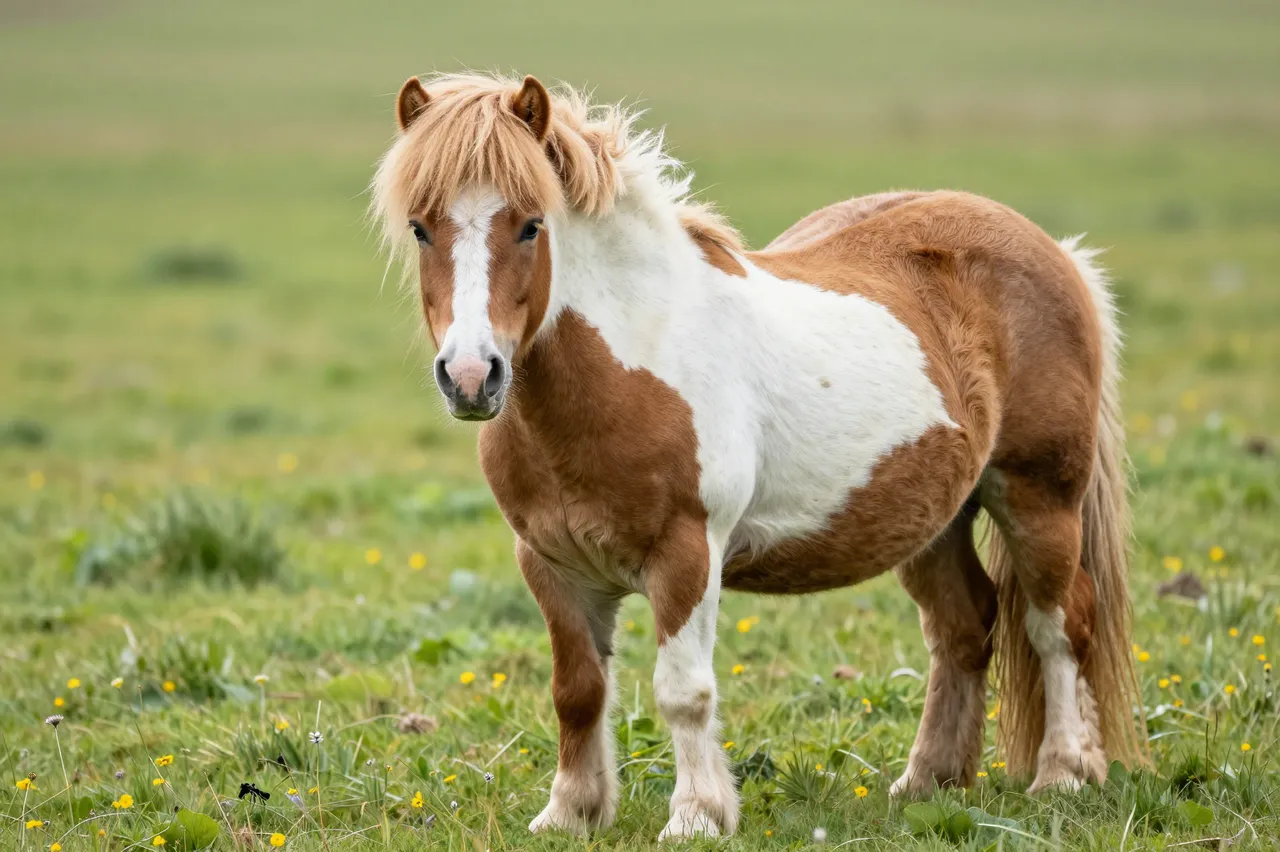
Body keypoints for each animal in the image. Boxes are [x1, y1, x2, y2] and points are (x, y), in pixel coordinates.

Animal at [371, 72, 1147, 839]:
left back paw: (1063, 775)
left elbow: (683, 692)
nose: (472, 376)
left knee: (1057, 624)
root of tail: (1057, 252)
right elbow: (577, 690)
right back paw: (927, 782)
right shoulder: (552, 565)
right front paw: (570, 814)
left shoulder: (686, 555)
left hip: (1039, 498)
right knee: (964, 626)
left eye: (532, 223)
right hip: (934, 519)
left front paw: (696, 817)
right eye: (421, 227)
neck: (634, 361)